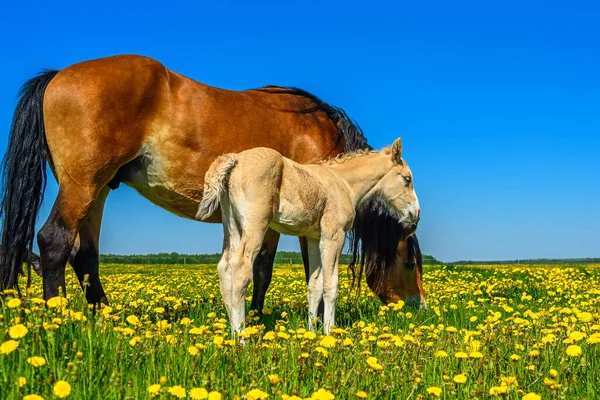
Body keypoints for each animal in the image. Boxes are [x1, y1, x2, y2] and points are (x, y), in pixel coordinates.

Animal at [0, 54, 426, 310]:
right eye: (408, 262)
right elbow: (302, 270)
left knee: (85, 254)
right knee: (54, 242)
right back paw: (61, 318)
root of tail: (57, 77)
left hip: (99, 188)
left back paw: (103, 318)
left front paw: (258, 318)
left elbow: (263, 269)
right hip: (82, 185)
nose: (419, 307)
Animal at [197, 139, 418, 336]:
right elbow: (331, 285)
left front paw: (312, 333)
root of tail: (235, 159)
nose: (415, 215)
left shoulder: (314, 239)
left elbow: (314, 285)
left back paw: (232, 335)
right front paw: (330, 332)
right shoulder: (333, 235)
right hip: (255, 225)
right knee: (241, 269)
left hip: (232, 226)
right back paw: (242, 338)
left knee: (225, 268)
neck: (344, 183)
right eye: (407, 179)